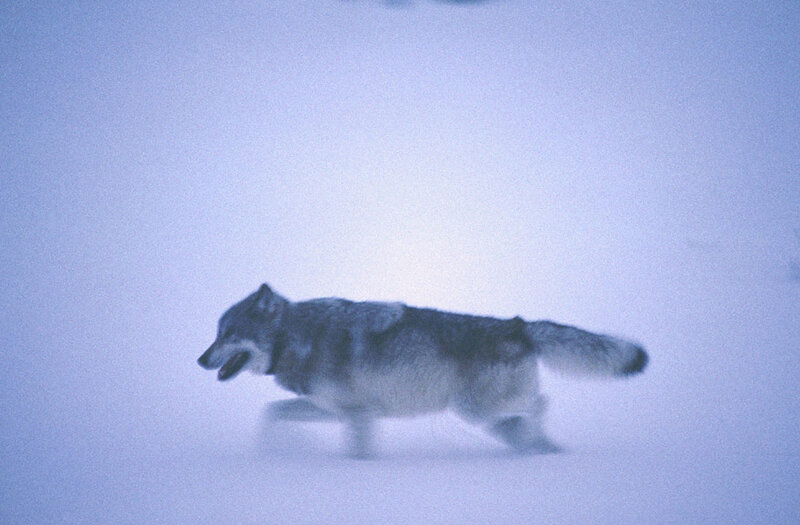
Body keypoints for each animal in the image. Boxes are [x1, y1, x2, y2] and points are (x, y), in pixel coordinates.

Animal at [197, 284, 647, 457]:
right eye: (216, 334)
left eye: (228, 334)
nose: (200, 360)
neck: (296, 336)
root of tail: (519, 324)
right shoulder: (336, 411)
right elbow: (271, 413)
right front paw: (270, 449)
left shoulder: (357, 415)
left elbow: (358, 452)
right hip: (482, 413)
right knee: (529, 419)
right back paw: (540, 449)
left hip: (476, 408)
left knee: (540, 404)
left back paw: (539, 444)